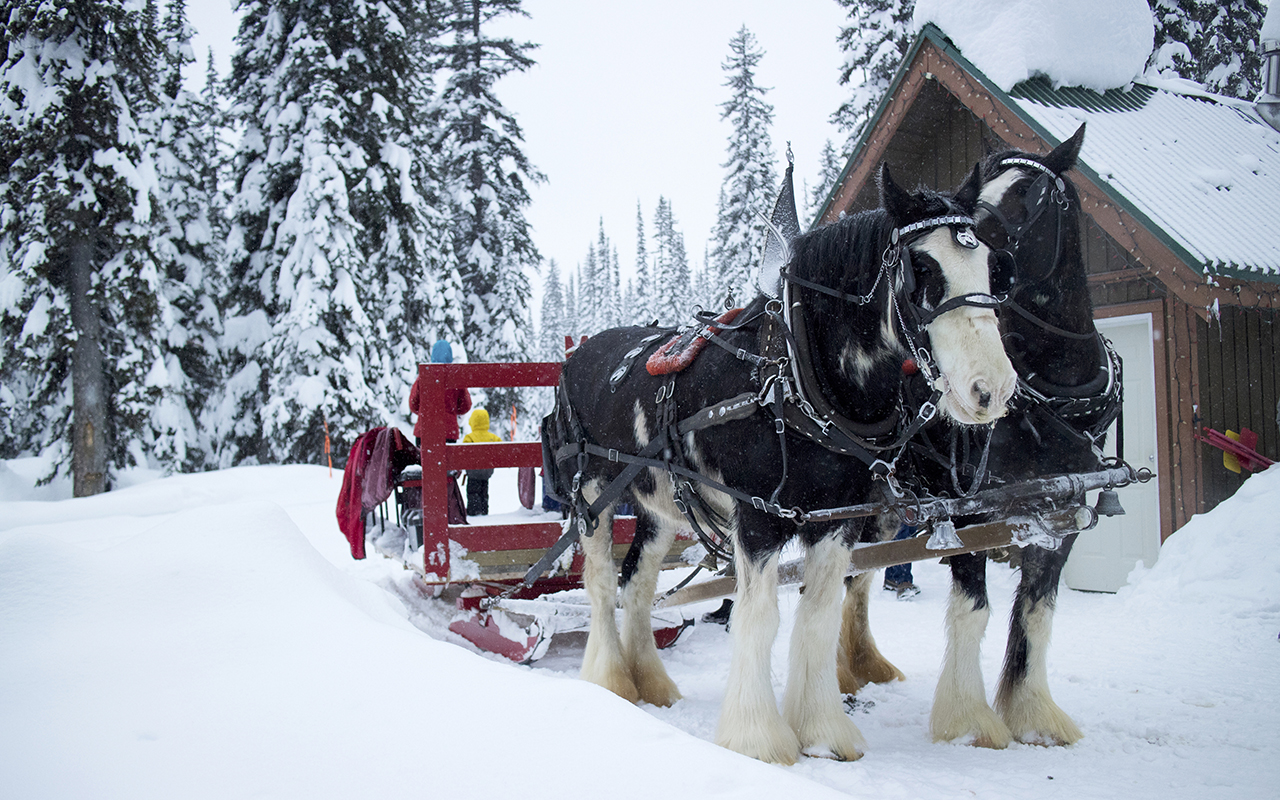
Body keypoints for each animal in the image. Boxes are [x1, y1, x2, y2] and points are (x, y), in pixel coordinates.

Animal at [550, 160, 1018, 762]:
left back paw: (650, 683)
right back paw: (610, 681)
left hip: (659, 506)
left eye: (992, 266)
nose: (991, 389)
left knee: (637, 584)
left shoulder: (836, 519)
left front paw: (821, 730)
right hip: (592, 498)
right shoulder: (758, 517)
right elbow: (759, 615)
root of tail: (574, 354)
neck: (793, 376)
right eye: (920, 269)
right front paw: (756, 737)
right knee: (603, 582)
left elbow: (818, 616)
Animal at [834, 124, 1116, 747]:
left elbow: (1037, 612)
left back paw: (857, 668)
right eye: (981, 188)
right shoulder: (966, 517)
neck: (1048, 399)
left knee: (856, 576)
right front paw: (968, 719)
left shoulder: (1061, 518)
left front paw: (1034, 713)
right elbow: (976, 608)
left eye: (1031, 194)